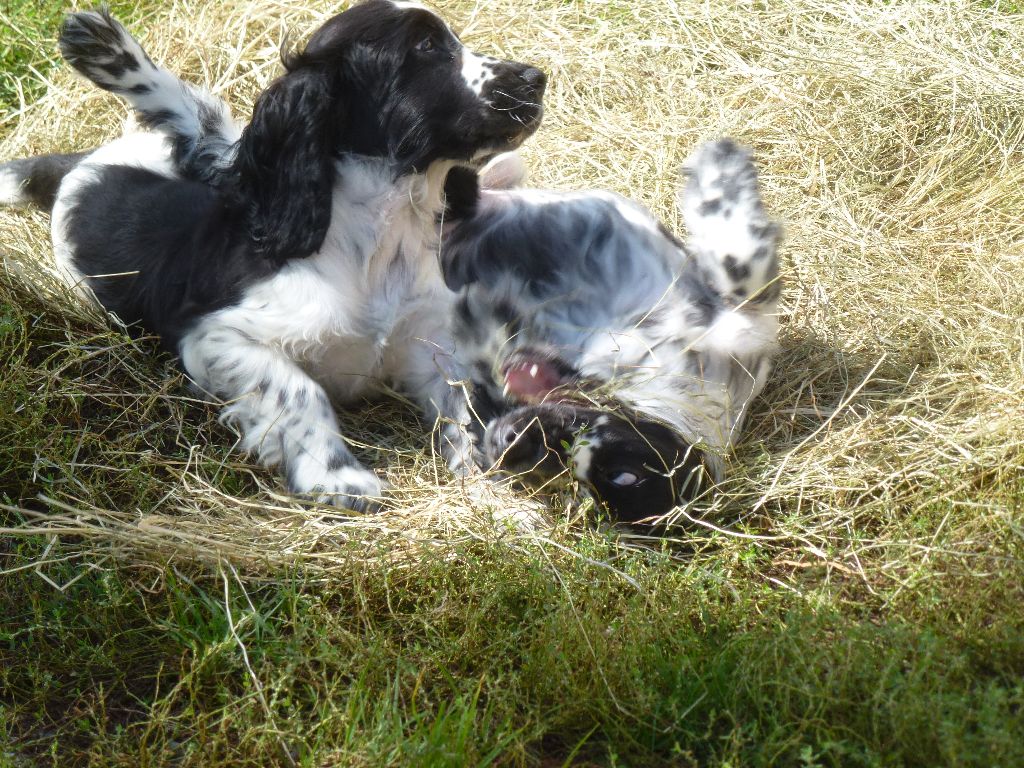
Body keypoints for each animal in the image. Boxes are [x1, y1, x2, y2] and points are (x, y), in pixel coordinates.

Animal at [0, 1, 548, 512]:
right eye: (427, 47)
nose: (536, 78)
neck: (379, 233)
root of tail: (84, 164)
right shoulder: (213, 335)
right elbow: (299, 390)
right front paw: (340, 480)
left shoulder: (434, 343)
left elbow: (466, 400)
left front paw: (489, 486)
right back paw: (107, 49)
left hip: (214, 151)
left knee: (198, 123)